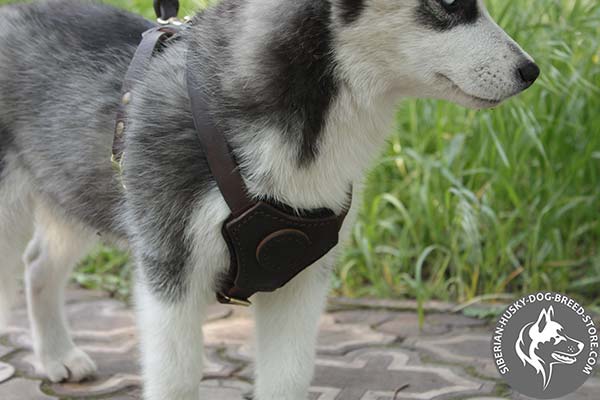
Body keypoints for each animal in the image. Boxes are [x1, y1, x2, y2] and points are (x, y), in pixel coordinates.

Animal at [0, 0, 540, 400]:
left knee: (38, 263)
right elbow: (175, 377)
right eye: (448, 2)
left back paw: (56, 355)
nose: (531, 71)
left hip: (76, 191)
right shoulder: (171, 268)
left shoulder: (300, 270)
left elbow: (288, 376)